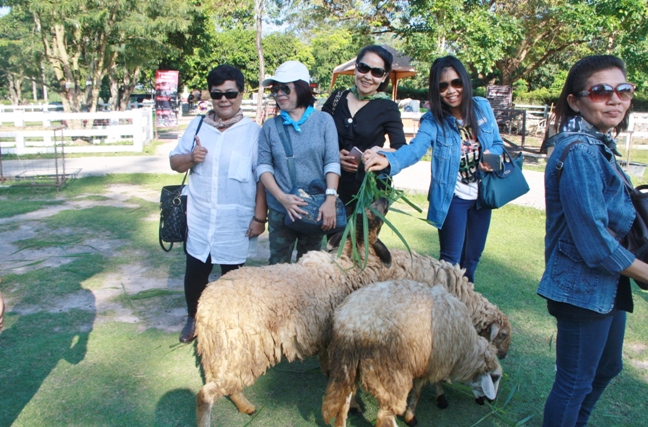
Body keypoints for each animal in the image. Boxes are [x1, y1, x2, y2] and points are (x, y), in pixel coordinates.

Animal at [195, 198, 407, 426]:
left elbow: (329, 365)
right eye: (374, 218)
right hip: (239, 353)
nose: (384, 199)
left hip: (225, 356)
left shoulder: (327, 335)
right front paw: (353, 406)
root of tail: (205, 306)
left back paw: (246, 407)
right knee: (206, 394)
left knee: (226, 386)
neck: (349, 263)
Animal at [321, 280, 503, 427]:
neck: (466, 351)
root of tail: (352, 327)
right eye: (495, 377)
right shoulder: (433, 363)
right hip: (391, 375)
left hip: (346, 368)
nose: (489, 401)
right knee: (384, 417)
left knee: (343, 406)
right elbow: (419, 390)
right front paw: (412, 416)